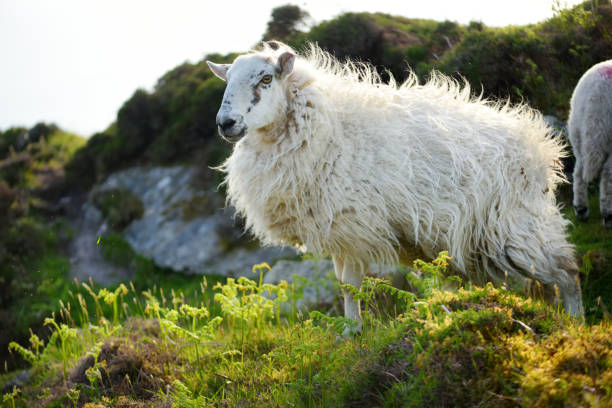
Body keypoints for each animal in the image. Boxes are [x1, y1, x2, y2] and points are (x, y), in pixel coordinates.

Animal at [208, 39, 584, 324]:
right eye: (227, 81)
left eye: (265, 79)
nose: (226, 123)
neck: (330, 128)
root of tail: (540, 147)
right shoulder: (339, 231)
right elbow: (343, 285)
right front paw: (350, 332)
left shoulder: (353, 227)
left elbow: (350, 286)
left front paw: (353, 332)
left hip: (517, 225)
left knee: (567, 271)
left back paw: (576, 323)